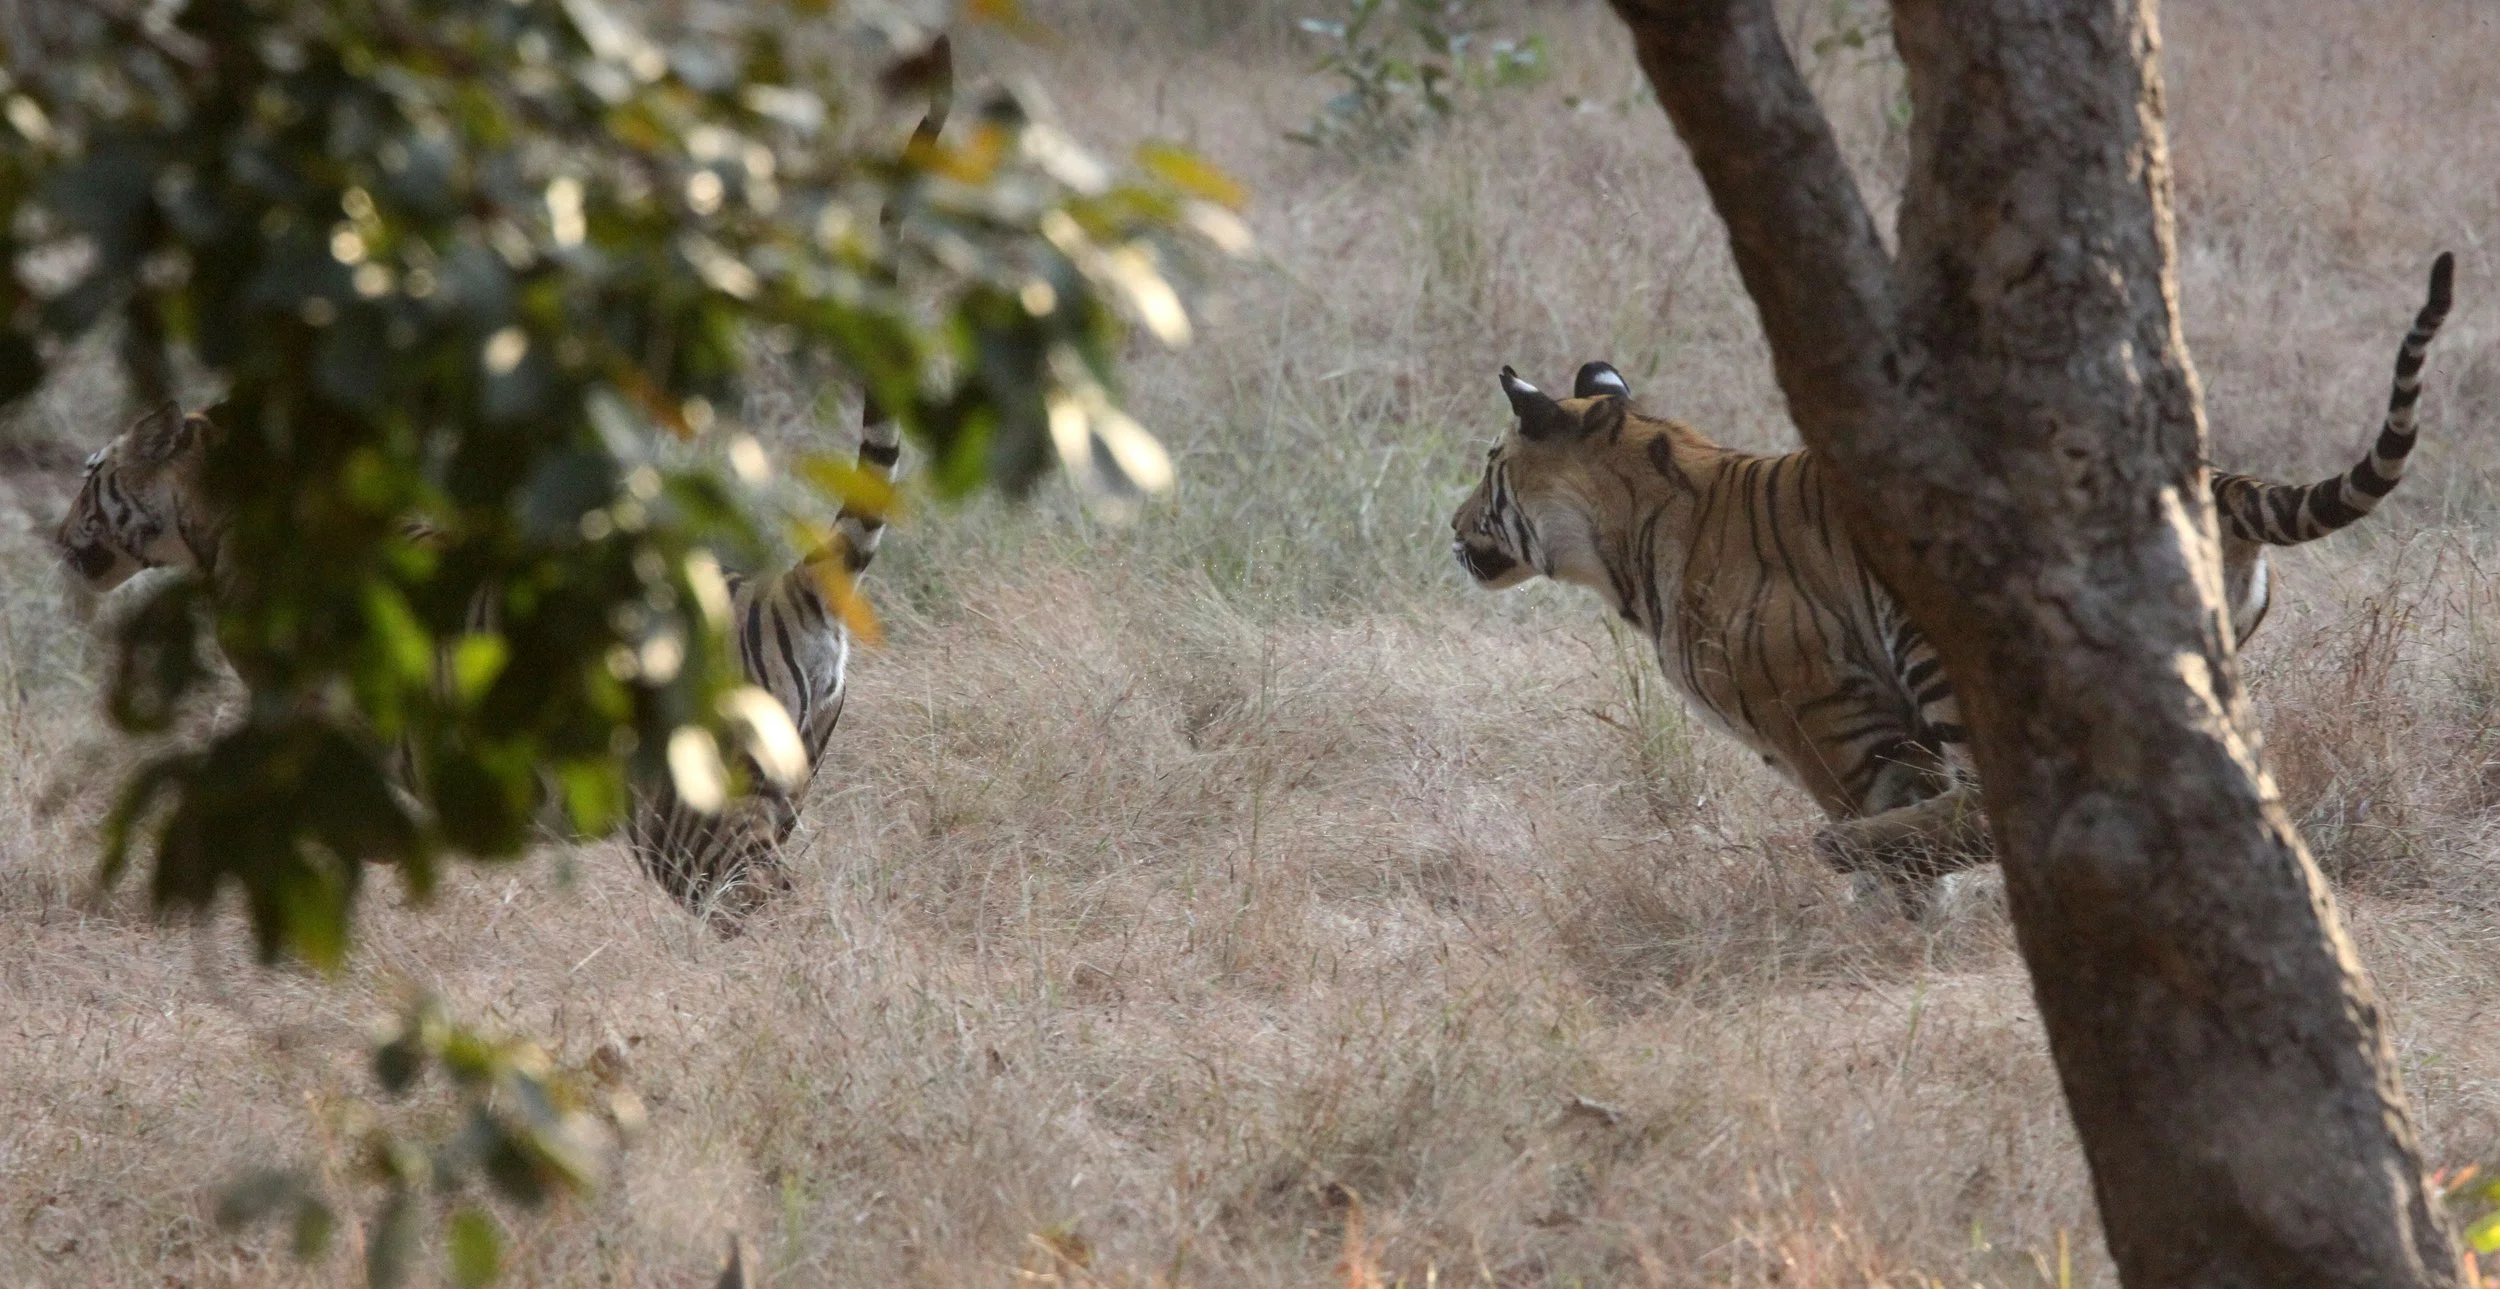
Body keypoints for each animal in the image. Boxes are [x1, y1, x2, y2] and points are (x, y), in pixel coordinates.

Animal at [1450, 253, 2454, 906]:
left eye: (1489, 468)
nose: (1452, 529)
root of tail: (2210, 477)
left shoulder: (1839, 724)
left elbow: (1898, 817)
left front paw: (1883, 918)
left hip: (1947, 643)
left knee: (1993, 804)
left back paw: (1845, 849)